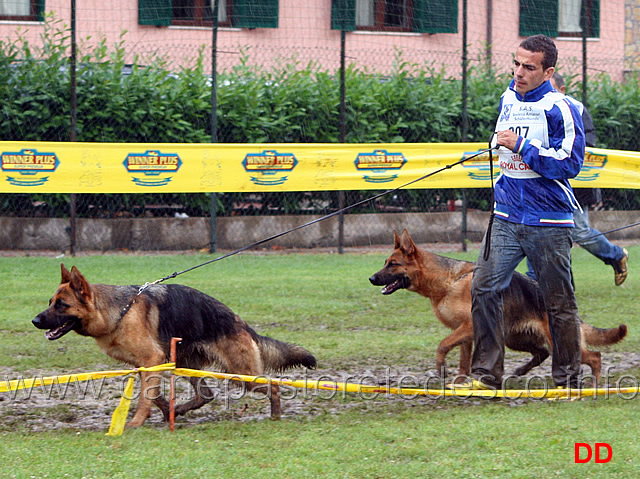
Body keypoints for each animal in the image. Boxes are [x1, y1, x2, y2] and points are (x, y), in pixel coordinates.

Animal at [32, 266, 318, 428]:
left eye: (62, 305)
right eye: (50, 302)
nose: (34, 320)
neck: (119, 311)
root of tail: (240, 322)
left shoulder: (152, 358)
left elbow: (146, 398)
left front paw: (135, 422)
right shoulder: (147, 364)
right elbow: (153, 394)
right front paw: (164, 410)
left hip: (241, 374)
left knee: (274, 386)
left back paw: (276, 416)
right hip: (187, 364)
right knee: (206, 395)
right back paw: (179, 409)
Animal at [370, 231, 624, 384]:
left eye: (393, 264)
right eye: (385, 263)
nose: (371, 278)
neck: (449, 281)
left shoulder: (468, 327)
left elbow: (442, 345)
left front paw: (442, 369)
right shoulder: (466, 336)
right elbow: (463, 362)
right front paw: (461, 382)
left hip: (555, 341)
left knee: (594, 356)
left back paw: (595, 384)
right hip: (513, 338)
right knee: (542, 352)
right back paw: (521, 371)